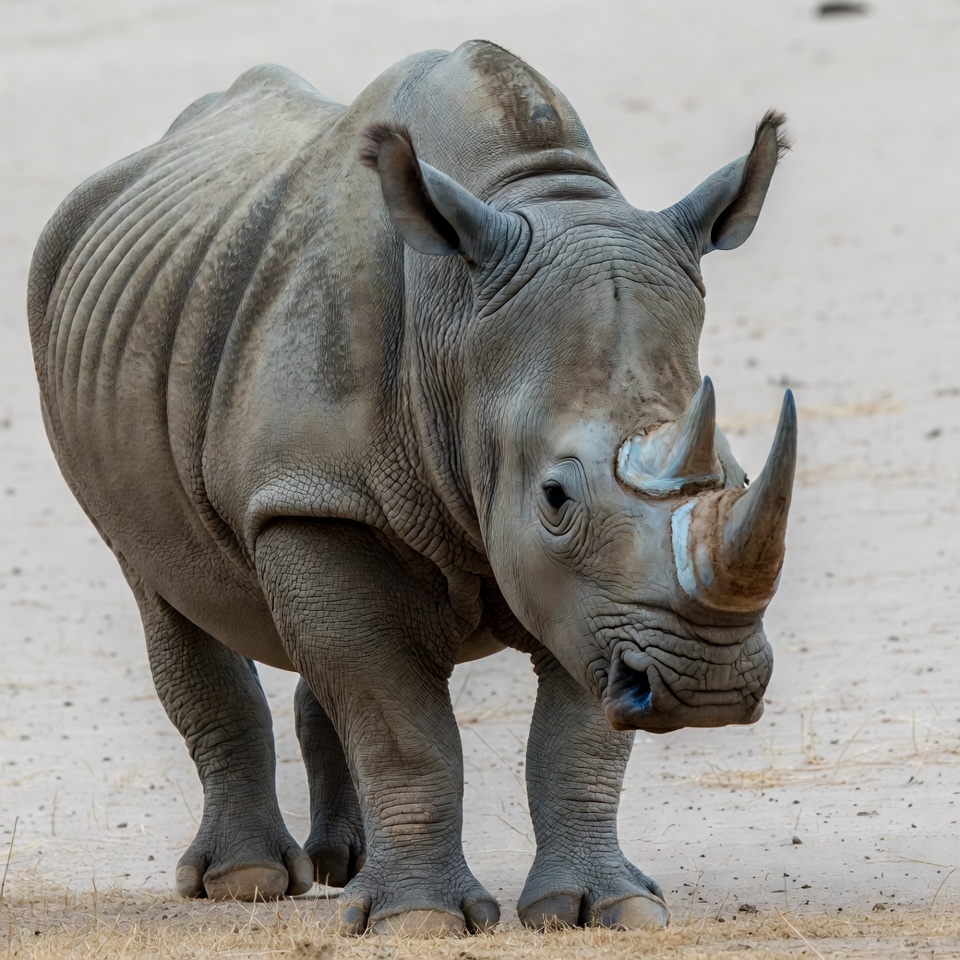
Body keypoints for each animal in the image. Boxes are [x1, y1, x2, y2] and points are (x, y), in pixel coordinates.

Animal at [28, 40, 796, 936]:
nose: (709, 685)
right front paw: (419, 922)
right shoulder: (318, 497)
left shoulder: (599, 600)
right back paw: (248, 881)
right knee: (164, 590)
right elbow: (400, 724)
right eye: (555, 497)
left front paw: (607, 911)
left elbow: (575, 734)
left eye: (739, 478)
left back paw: (344, 870)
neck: (455, 327)